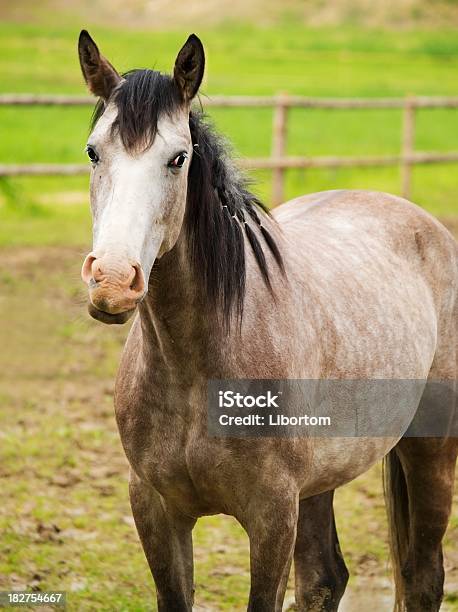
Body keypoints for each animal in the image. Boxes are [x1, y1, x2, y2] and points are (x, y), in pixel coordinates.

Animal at [77, 29, 456, 612]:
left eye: (178, 158)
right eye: (94, 151)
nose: (113, 280)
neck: (197, 369)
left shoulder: (273, 516)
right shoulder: (155, 510)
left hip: (430, 451)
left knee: (422, 577)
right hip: (321, 481)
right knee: (324, 579)